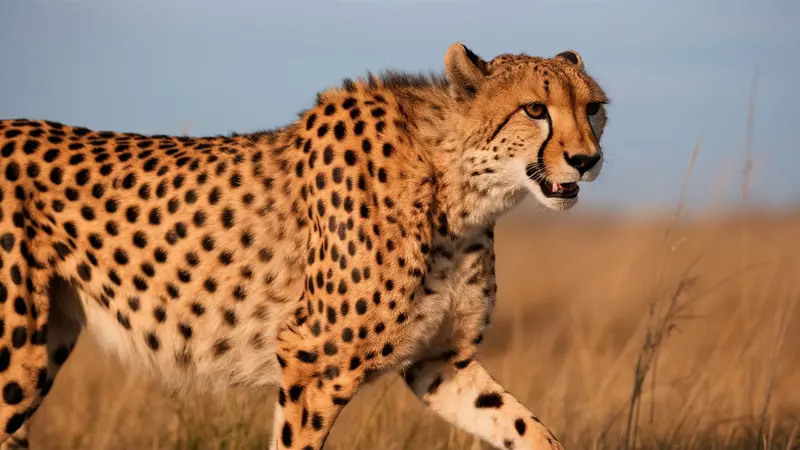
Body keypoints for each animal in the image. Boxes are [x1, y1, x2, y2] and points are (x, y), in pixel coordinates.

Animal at [0, 42, 608, 450]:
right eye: (535, 109)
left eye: (594, 108)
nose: (587, 159)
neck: (455, 184)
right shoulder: (312, 359)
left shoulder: (440, 362)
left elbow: (526, 427)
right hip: (17, 353)